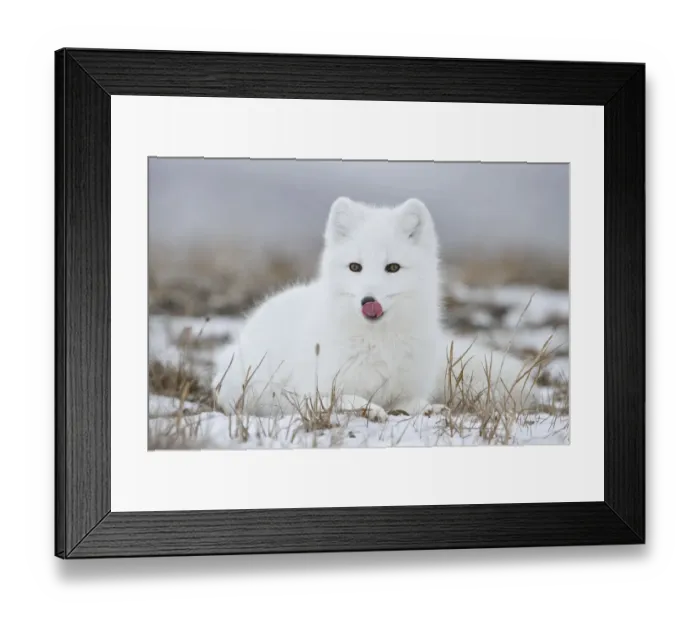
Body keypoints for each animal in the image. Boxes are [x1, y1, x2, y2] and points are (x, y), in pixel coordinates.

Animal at [214, 196, 534, 421]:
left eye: (392, 267)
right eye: (355, 267)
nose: (368, 300)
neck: (379, 343)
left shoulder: (406, 390)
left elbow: (412, 403)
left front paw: (429, 408)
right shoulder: (309, 392)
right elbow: (343, 398)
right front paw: (369, 409)